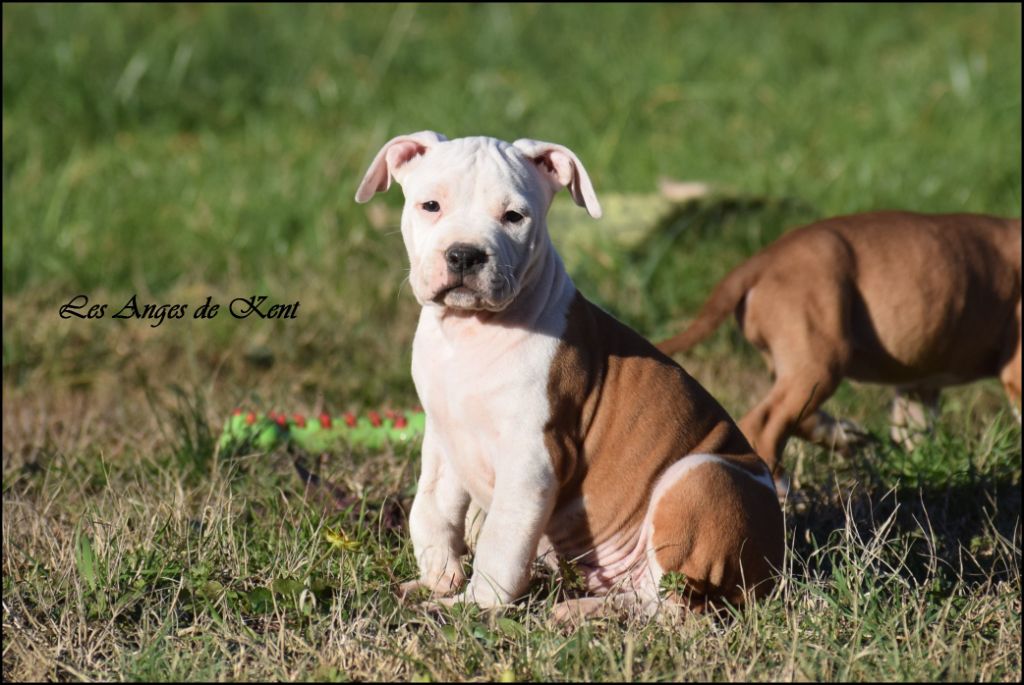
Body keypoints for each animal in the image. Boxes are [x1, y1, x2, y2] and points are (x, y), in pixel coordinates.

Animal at [356, 131, 778, 618]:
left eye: (514, 217)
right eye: (430, 205)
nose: (464, 254)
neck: (467, 333)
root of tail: (773, 565)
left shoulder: (532, 458)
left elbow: (500, 542)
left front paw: (474, 606)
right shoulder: (443, 437)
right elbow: (430, 510)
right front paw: (437, 579)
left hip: (699, 478)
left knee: (672, 609)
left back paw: (574, 614)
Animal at [655, 210, 1024, 489]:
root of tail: (761, 261)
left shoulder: (919, 385)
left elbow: (913, 432)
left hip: (802, 367)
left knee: (794, 414)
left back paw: (842, 436)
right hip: (821, 360)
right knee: (766, 422)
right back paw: (783, 486)